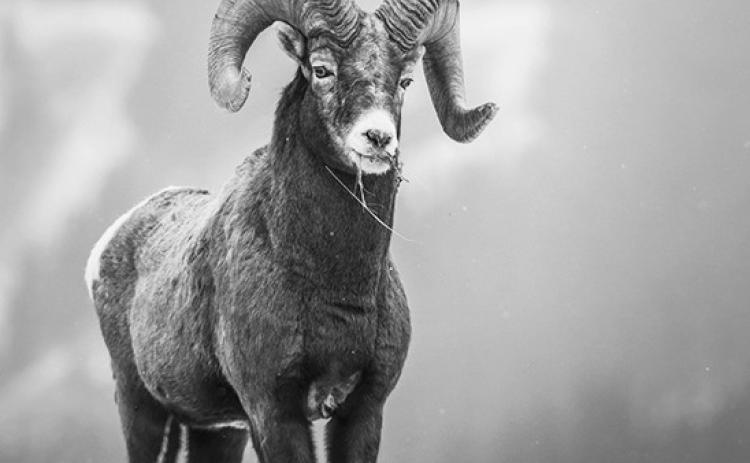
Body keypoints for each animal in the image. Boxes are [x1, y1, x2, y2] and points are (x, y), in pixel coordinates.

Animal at [85, 0, 497, 462]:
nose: (377, 137)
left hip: (218, 431)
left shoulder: (364, 411)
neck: (334, 285)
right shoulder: (273, 411)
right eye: (321, 69)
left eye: (406, 79)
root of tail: (107, 246)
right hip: (142, 409)